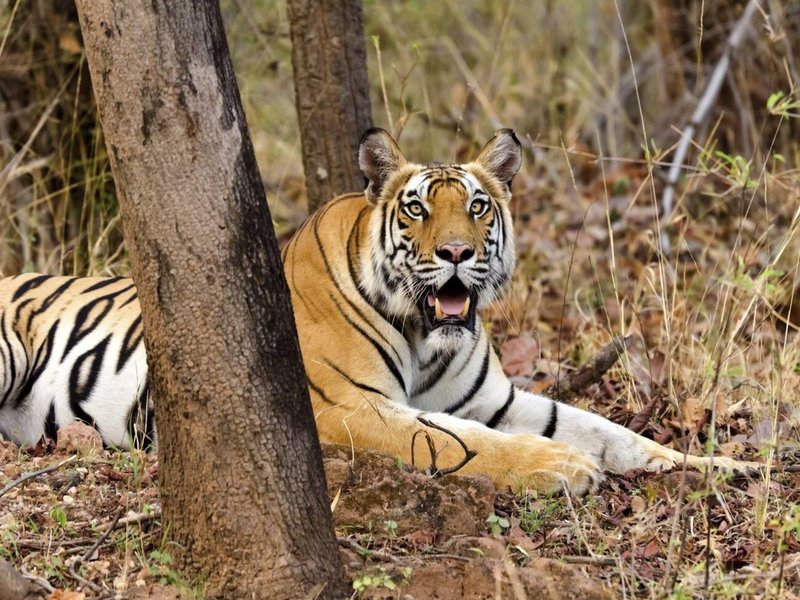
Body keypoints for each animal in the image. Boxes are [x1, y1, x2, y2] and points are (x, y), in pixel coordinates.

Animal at [0, 128, 749, 494]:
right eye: (416, 207)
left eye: (478, 205)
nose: (455, 252)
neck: (428, 335)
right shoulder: (348, 408)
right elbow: (457, 441)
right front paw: (560, 468)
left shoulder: (499, 399)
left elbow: (609, 430)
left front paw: (725, 467)